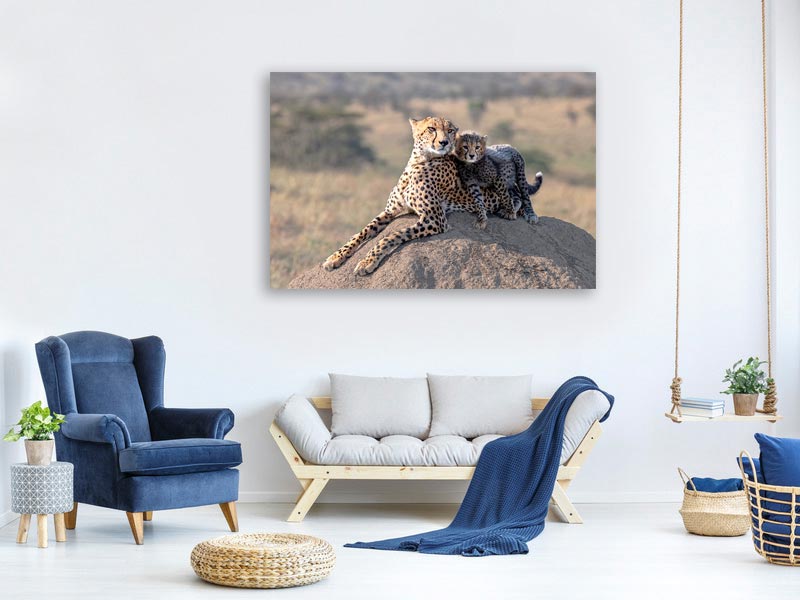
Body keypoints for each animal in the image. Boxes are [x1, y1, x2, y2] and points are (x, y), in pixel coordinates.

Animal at [322, 116, 504, 276]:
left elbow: (391, 236)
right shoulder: (390, 211)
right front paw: (336, 256)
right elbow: (362, 232)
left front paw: (368, 262)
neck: (418, 162)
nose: (444, 142)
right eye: (431, 129)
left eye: (450, 130)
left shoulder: (435, 219)